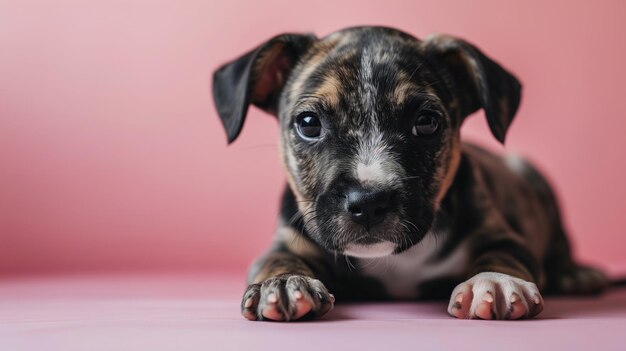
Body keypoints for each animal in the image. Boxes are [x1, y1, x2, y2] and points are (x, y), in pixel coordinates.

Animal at [210, 25, 604, 322]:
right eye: (309, 123)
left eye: (426, 122)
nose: (369, 202)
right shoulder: (288, 239)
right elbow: (276, 258)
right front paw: (283, 282)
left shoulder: (502, 232)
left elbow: (506, 253)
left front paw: (495, 281)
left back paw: (576, 274)